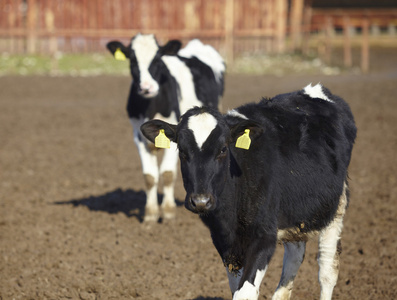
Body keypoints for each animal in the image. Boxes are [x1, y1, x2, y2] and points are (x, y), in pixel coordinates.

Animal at [105, 34, 224, 223]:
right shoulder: (138, 137)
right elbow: (149, 176)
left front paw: (168, 213)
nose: (147, 87)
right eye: (132, 60)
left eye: (157, 59)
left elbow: (167, 174)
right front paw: (150, 214)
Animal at [142, 84, 356, 300]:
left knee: (327, 271)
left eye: (223, 149)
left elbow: (245, 292)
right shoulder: (225, 243)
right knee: (294, 259)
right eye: (182, 151)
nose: (201, 201)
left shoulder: (264, 236)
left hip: (335, 209)